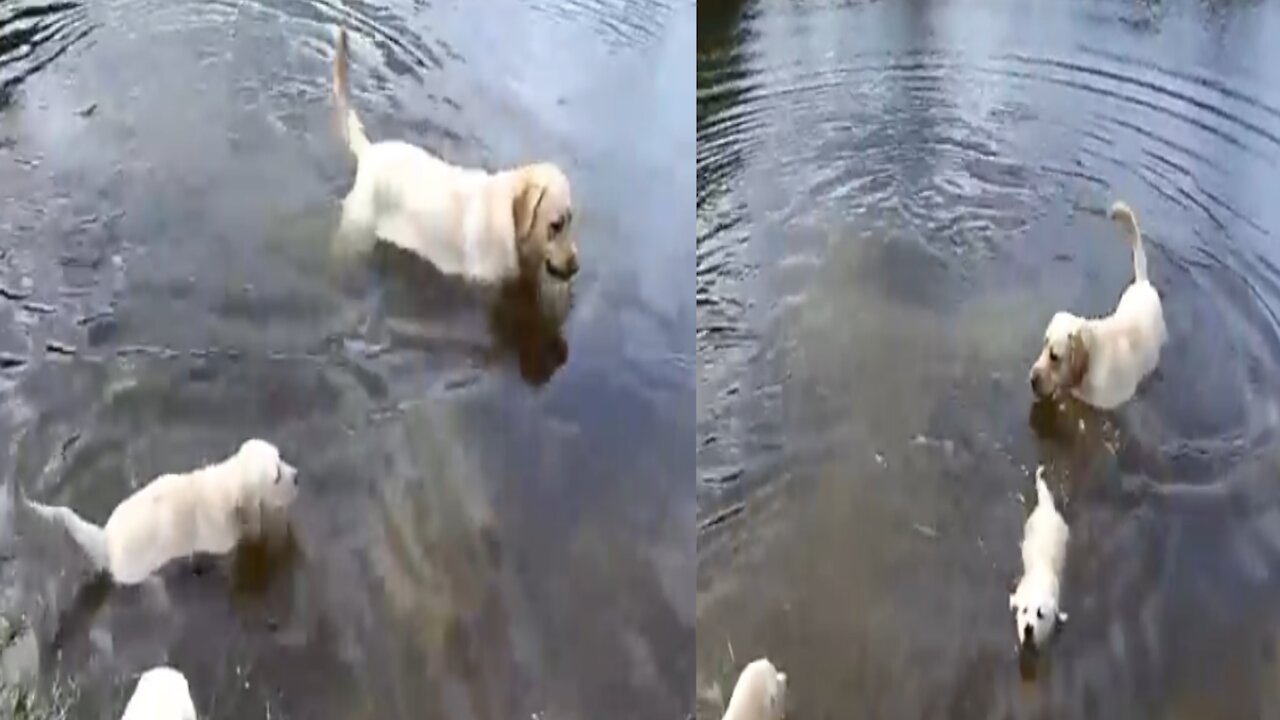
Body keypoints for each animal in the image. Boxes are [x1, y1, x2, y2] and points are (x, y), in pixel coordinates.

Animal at [330, 28, 576, 285]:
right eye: (556, 225)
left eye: (571, 220)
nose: (576, 267)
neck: (510, 220)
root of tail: (371, 151)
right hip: (357, 234)